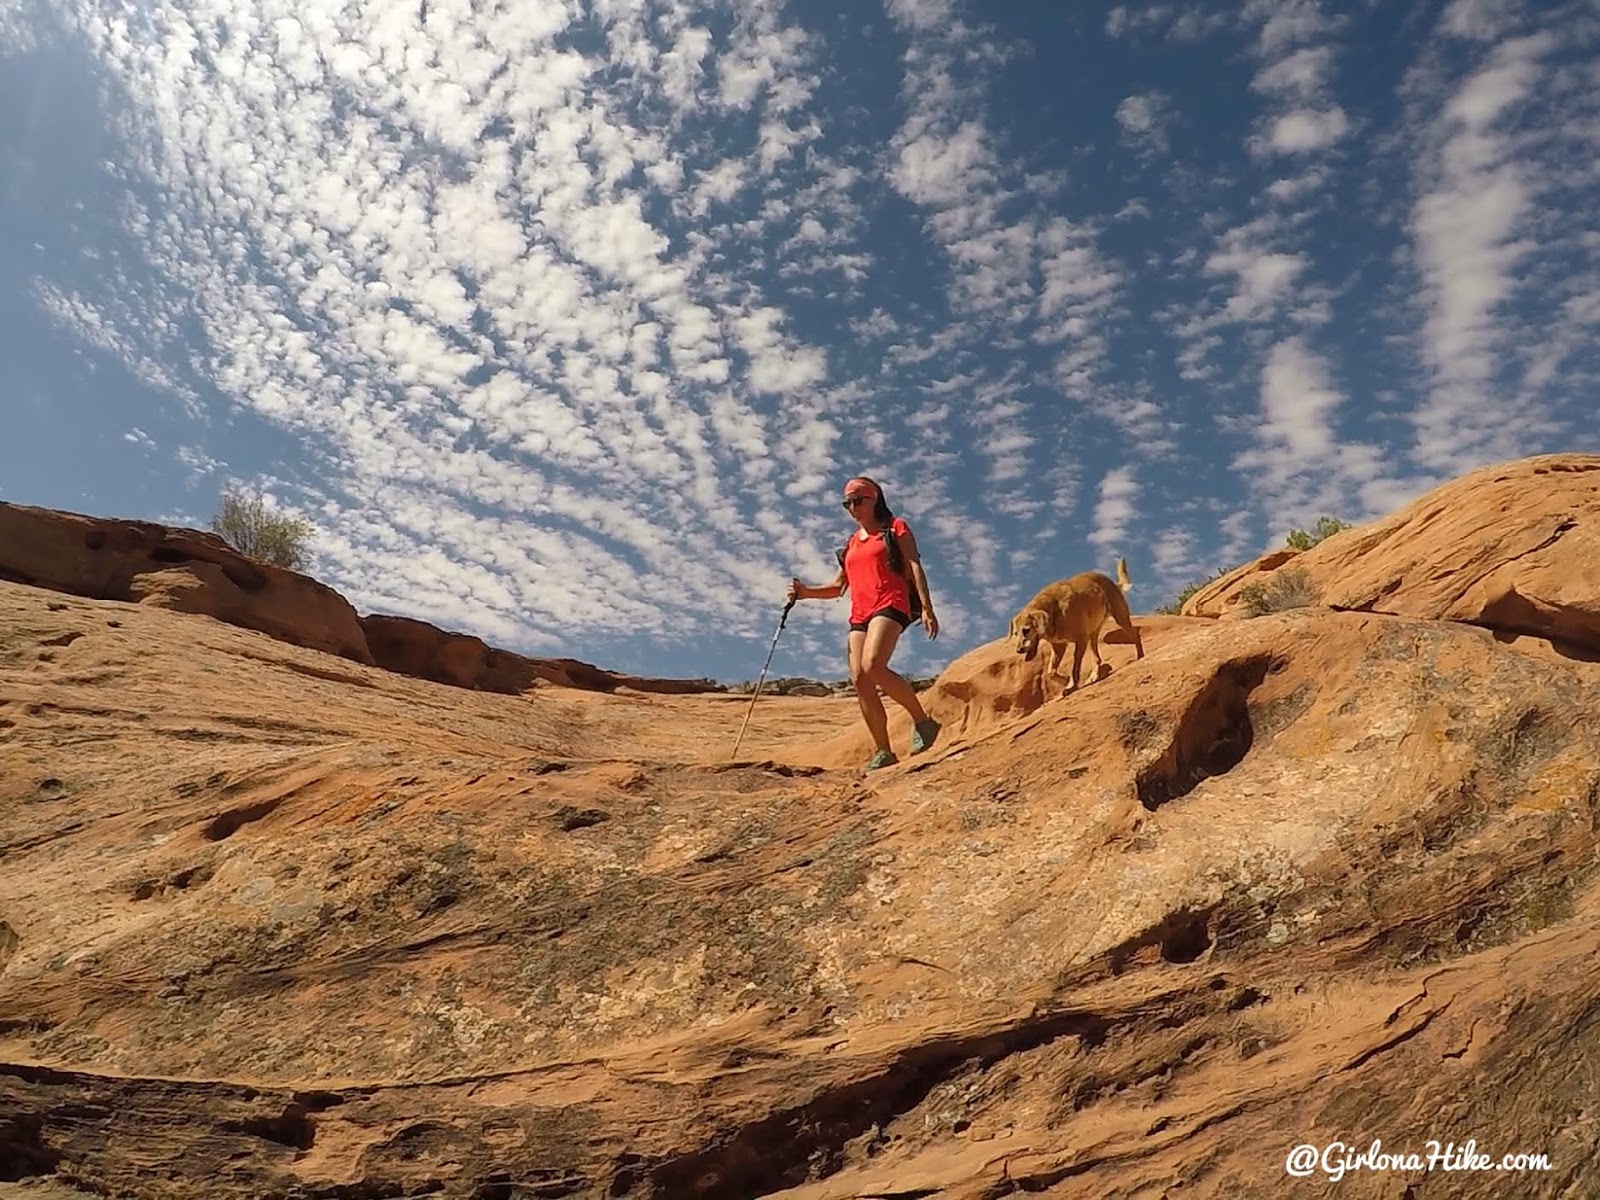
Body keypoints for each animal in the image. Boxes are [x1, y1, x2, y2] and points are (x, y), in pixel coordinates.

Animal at [1004, 563, 1145, 694]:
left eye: (1026, 630)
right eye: (1015, 634)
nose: (1019, 650)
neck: (1054, 610)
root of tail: (1111, 581)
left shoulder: (1080, 640)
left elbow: (1075, 668)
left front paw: (1072, 685)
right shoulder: (1059, 646)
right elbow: (1051, 672)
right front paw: (1066, 681)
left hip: (1120, 617)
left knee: (1135, 636)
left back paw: (1140, 656)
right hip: (1092, 634)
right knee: (1097, 658)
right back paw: (1093, 676)